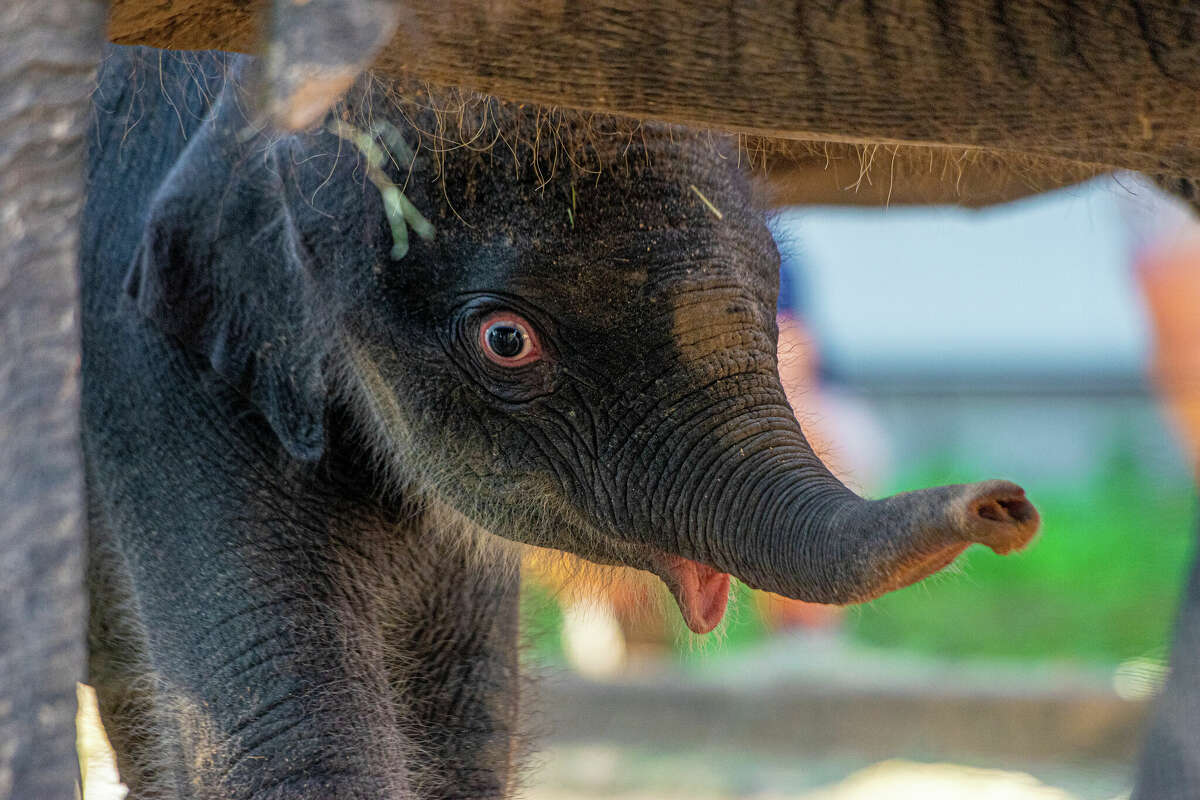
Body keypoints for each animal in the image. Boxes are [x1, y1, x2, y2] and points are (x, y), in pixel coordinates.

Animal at [82, 45, 1041, 800]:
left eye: (774, 287)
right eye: (507, 340)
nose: (1004, 506)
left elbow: (470, 724)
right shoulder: (155, 369)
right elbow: (285, 736)